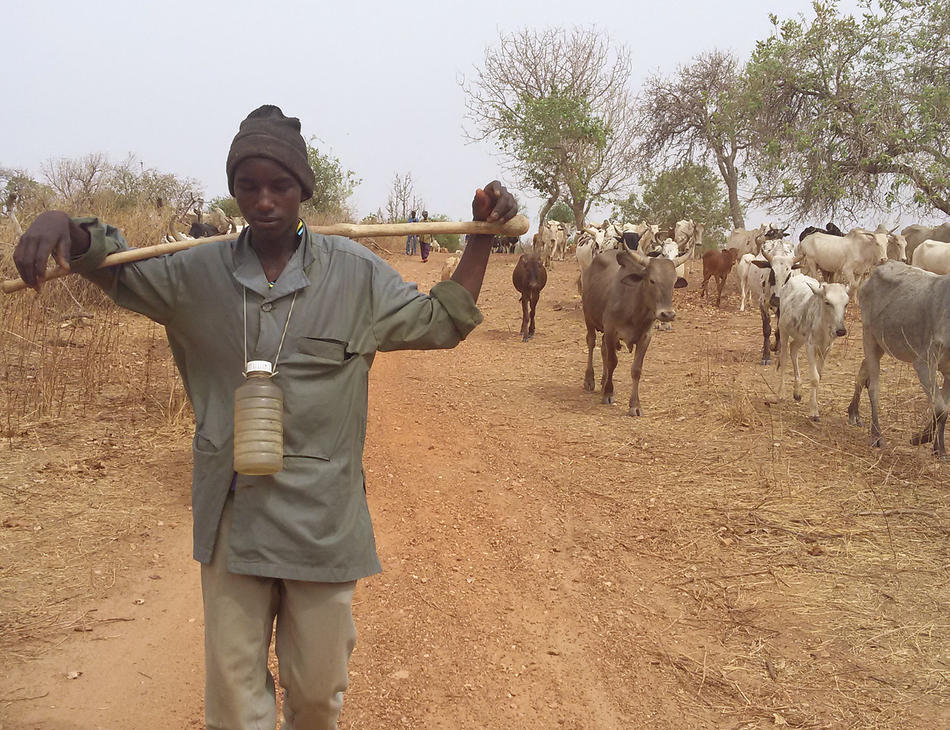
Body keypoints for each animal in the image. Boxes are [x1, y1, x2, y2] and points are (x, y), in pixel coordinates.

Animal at [776, 272, 852, 420]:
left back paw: (797, 392)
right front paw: (814, 411)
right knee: (784, 357)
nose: (841, 331)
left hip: (800, 336)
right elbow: (814, 377)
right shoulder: (810, 346)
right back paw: (781, 393)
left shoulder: (827, 348)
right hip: (783, 329)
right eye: (827, 302)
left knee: (793, 348)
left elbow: (819, 375)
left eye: (846, 304)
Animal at [848, 262, 950, 456]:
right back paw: (876, 435)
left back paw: (853, 413)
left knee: (863, 371)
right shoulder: (924, 363)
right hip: (869, 335)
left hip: (881, 344)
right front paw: (925, 441)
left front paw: (932, 444)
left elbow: (943, 407)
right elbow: (940, 408)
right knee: (873, 387)